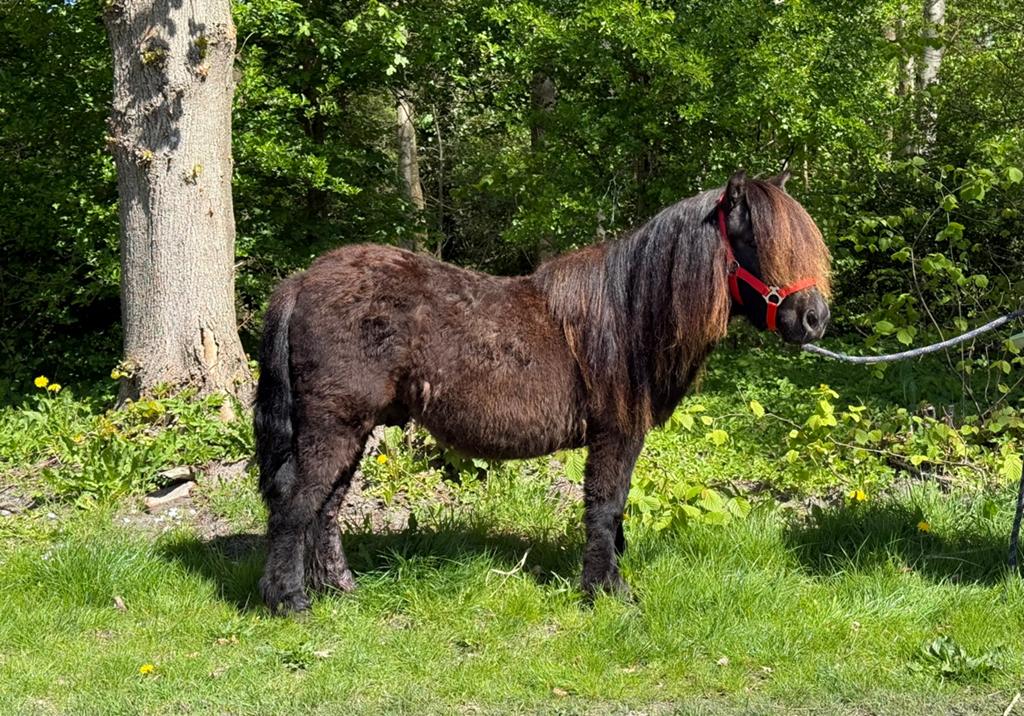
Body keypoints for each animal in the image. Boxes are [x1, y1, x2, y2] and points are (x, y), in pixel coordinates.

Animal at [254, 169, 832, 613]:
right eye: (756, 241)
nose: (815, 318)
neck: (630, 313)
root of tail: (302, 280)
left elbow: (613, 510)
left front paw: (607, 582)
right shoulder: (616, 433)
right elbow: (606, 507)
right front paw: (606, 592)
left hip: (354, 428)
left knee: (326, 506)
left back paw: (340, 589)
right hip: (333, 425)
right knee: (296, 502)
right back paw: (290, 600)